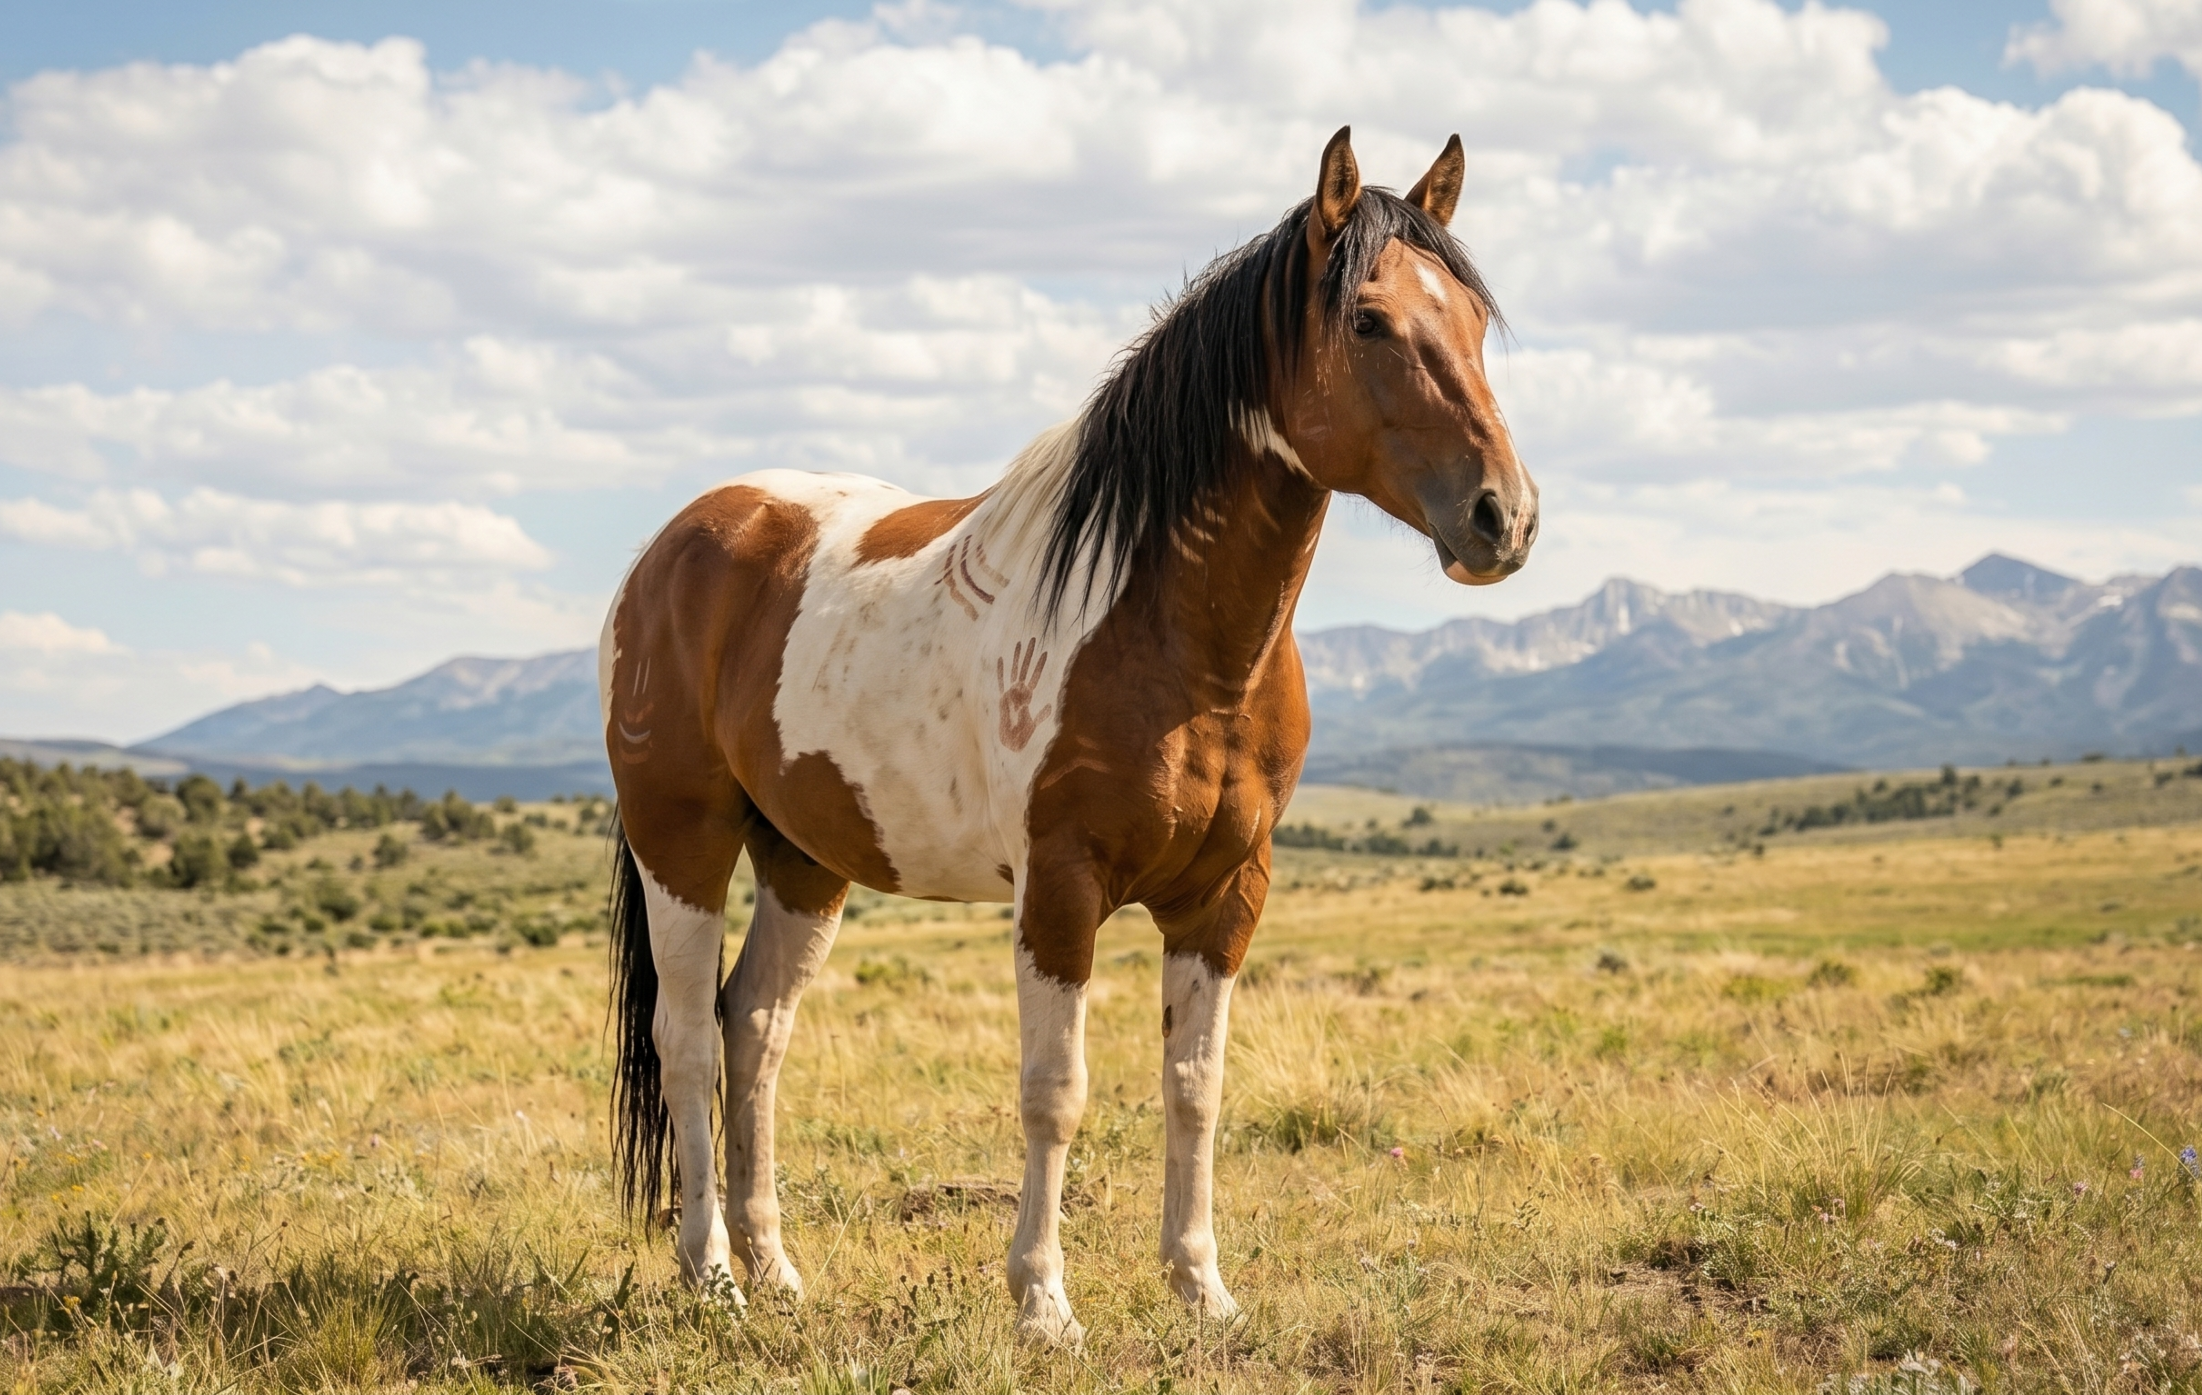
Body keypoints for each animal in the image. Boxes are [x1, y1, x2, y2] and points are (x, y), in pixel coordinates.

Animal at [598, 125, 1537, 1344]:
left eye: (1471, 318)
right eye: (1369, 321)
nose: (1503, 518)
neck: (1172, 635)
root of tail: (681, 544)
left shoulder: (1226, 895)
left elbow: (1196, 1087)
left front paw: (1202, 1288)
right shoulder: (1060, 887)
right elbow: (1056, 1095)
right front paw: (1043, 1302)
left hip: (804, 859)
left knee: (755, 1030)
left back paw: (777, 1272)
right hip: (685, 841)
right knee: (688, 1040)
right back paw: (711, 1274)